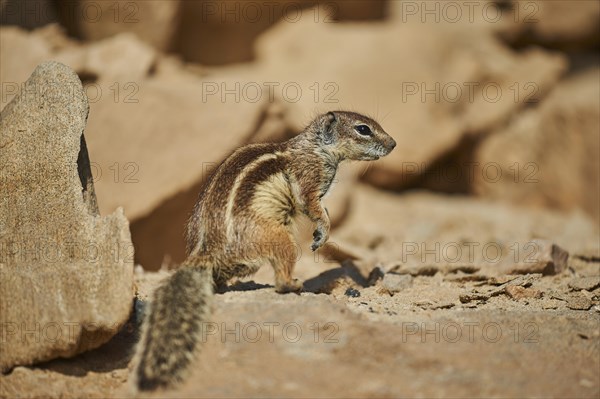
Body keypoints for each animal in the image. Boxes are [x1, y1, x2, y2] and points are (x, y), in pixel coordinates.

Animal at [130, 111, 398, 392]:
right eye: (363, 129)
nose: (393, 144)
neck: (314, 146)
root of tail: (205, 251)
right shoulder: (309, 176)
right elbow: (312, 205)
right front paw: (322, 233)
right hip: (280, 238)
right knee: (279, 280)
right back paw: (294, 284)